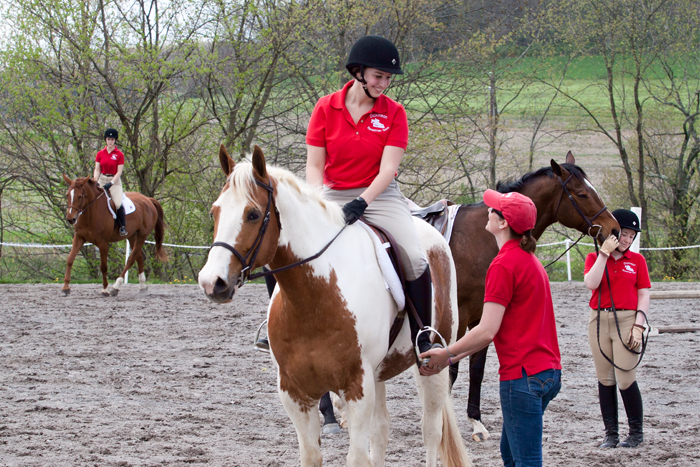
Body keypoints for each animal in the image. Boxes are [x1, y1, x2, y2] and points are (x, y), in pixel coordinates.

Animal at [197, 146, 470, 467]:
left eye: (252, 214)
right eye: (214, 211)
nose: (211, 282)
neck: (313, 301)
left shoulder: (357, 388)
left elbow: (357, 457)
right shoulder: (295, 393)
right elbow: (312, 456)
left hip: (433, 363)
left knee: (431, 431)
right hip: (379, 374)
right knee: (382, 430)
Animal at [448, 151, 616, 442]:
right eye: (582, 194)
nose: (614, 228)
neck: (478, 239)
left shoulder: (481, 315)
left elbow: (476, 369)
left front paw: (476, 423)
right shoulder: (459, 316)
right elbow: (451, 369)